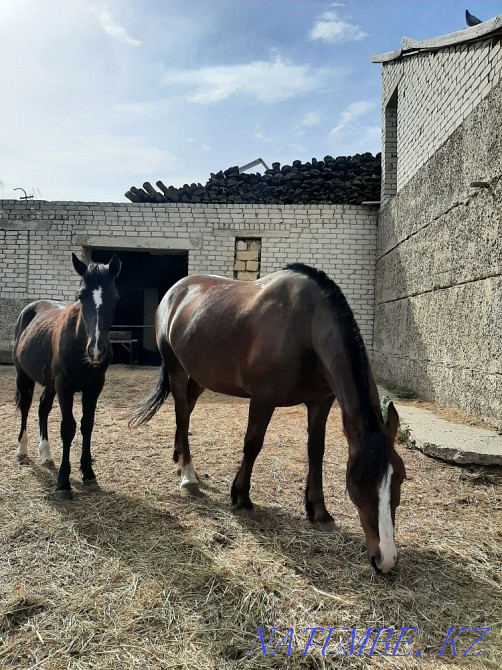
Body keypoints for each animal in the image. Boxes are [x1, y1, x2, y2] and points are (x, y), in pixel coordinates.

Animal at [13, 253, 121, 499]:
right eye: (81, 296)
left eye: (115, 297)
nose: (96, 350)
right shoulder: (65, 386)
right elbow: (68, 427)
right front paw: (63, 482)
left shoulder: (94, 387)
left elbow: (87, 424)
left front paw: (88, 473)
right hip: (24, 376)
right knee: (25, 406)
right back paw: (22, 450)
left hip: (50, 384)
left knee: (42, 408)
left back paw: (46, 454)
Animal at [130, 263, 406, 573]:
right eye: (359, 481)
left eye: (400, 478)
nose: (385, 559)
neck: (306, 326)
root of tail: (174, 292)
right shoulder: (263, 398)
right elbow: (253, 443)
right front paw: (241, 497)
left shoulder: (321, 402)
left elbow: (316, 451)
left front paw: (319, 512)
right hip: (176, 369)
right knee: (181, 412)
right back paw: (188, 478)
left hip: (201, 376)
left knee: (186, 411)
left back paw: (179, 459)